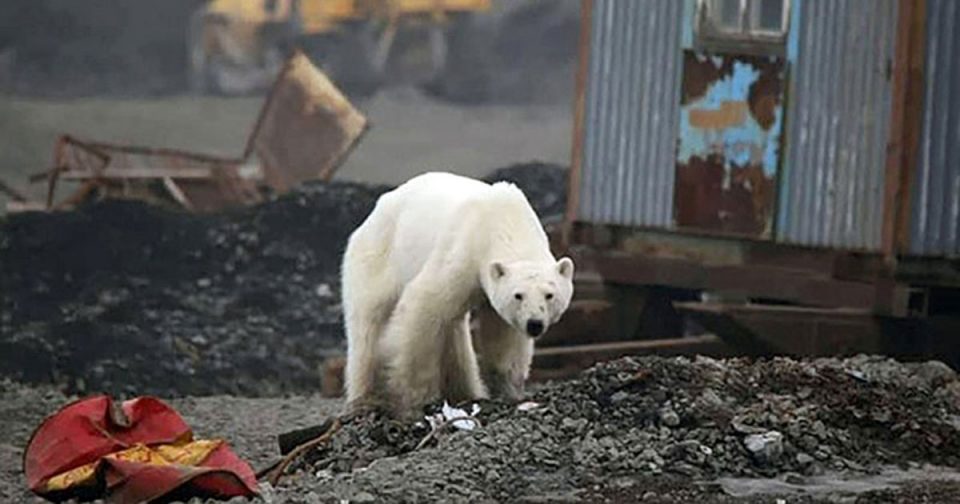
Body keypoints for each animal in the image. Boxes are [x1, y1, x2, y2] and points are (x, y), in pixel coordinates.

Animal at [342, 171, 572, 416]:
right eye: (518, 295)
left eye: (549, 295)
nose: (534, 324)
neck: (504, 221)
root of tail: (374, 212)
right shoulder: (463, 252)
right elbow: (423, 305)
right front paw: (417, 398)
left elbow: (503, 333)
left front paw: (509, 390)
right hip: (377, 257)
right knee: (368, 324)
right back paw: (365, 398)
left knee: (454, 330)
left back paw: (466, 392)